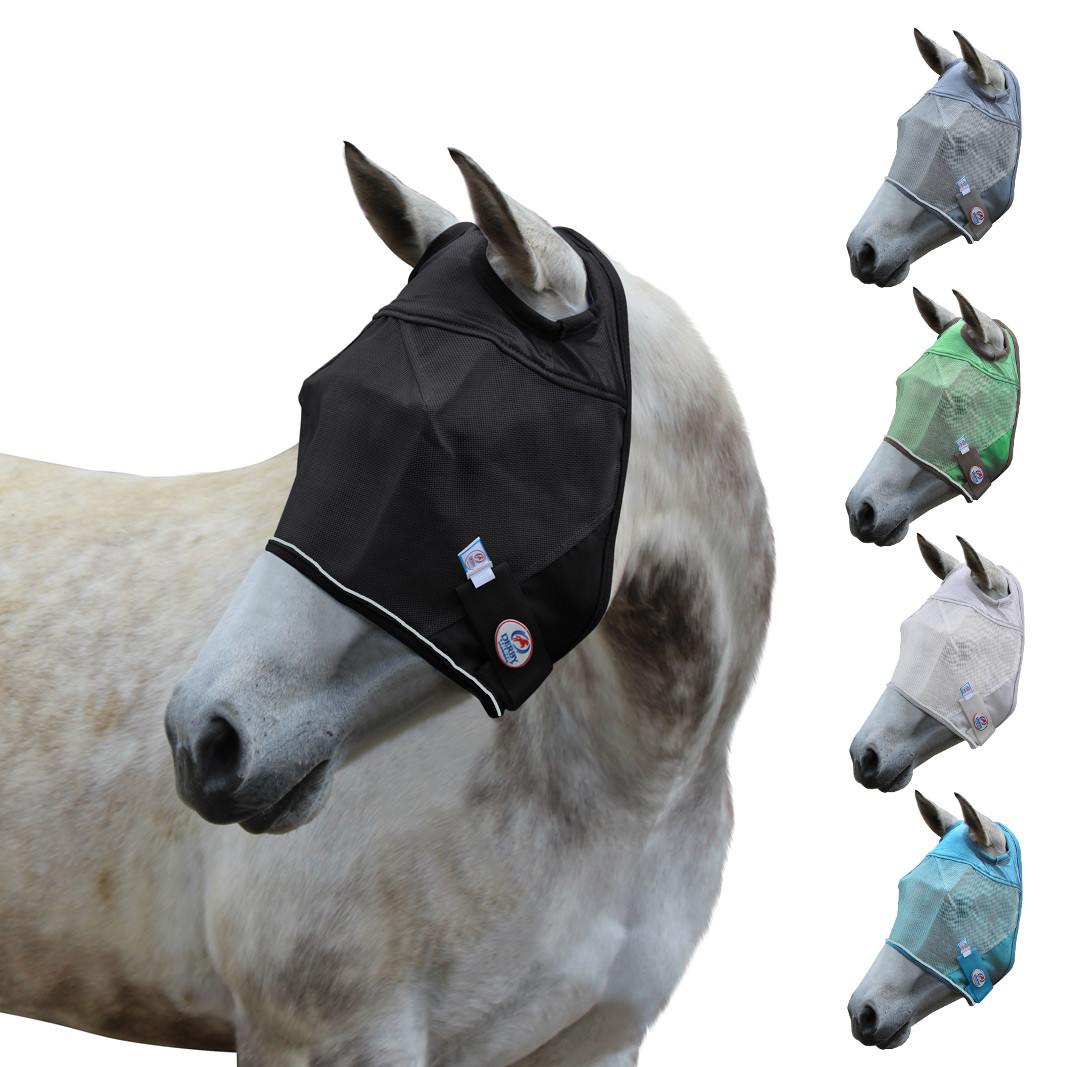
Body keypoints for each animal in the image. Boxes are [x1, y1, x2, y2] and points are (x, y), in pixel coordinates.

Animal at [0, 147, 773, 1065]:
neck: (624, 796)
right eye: (317, 404)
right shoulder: (327, 1035)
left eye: (454, 438)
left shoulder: (600, 1038)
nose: (207, 739)